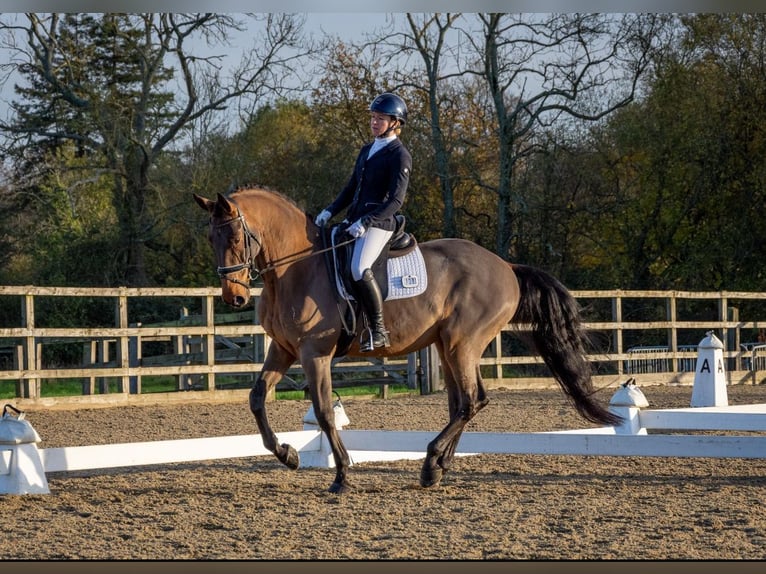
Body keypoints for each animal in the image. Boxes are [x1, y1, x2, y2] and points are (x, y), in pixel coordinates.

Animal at [194, 188, 624, 496]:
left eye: (235, 235)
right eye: (210, 237)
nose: (234, 298)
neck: (295, 268)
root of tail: (506, 266)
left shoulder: (315, 353)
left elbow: (324, 412)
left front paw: (342, 476)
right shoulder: (284, 350)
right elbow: (256, 398)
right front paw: (288, 454)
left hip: (462, 343)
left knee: (470, 401)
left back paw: (432, 461)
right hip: (446, 346)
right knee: (464, 401)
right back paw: (437, 468)